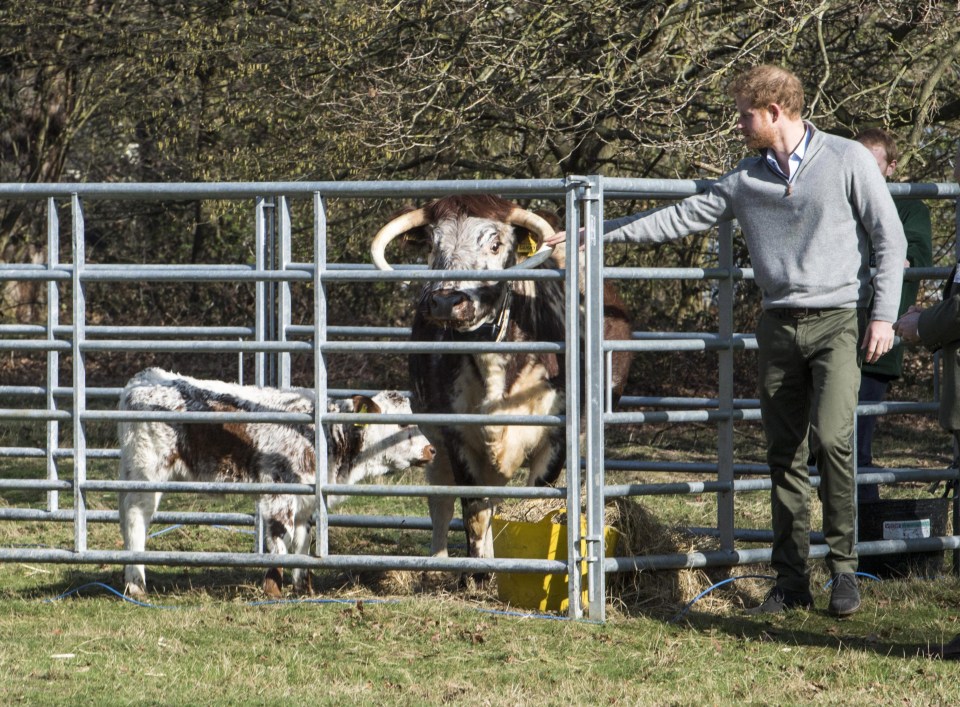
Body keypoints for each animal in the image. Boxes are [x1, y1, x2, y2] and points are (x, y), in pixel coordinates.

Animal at [120, 370, 436, 596]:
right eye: (401, 424)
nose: (431, 450)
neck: (326, 436)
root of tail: (143, 379)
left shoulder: (307, 500)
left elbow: (302, 542)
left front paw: (303, 588)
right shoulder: (279, 492)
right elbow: (280, 539)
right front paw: (273, 591)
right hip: (147, 473)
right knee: (136, 519)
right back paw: (137, 585)